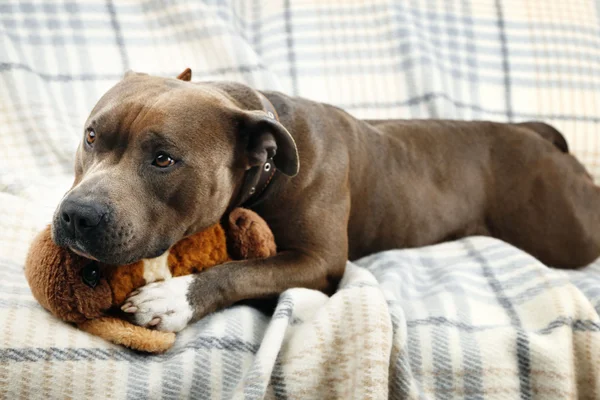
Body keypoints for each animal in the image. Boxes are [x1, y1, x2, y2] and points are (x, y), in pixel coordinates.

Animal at [50, 68, 600, 332]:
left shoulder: (320, 261)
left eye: (163, 159)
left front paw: (173, 299)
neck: (266, 162)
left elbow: (241, 270)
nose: (76, 215)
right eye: (92, 136)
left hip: (565, 231)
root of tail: (536, 134)